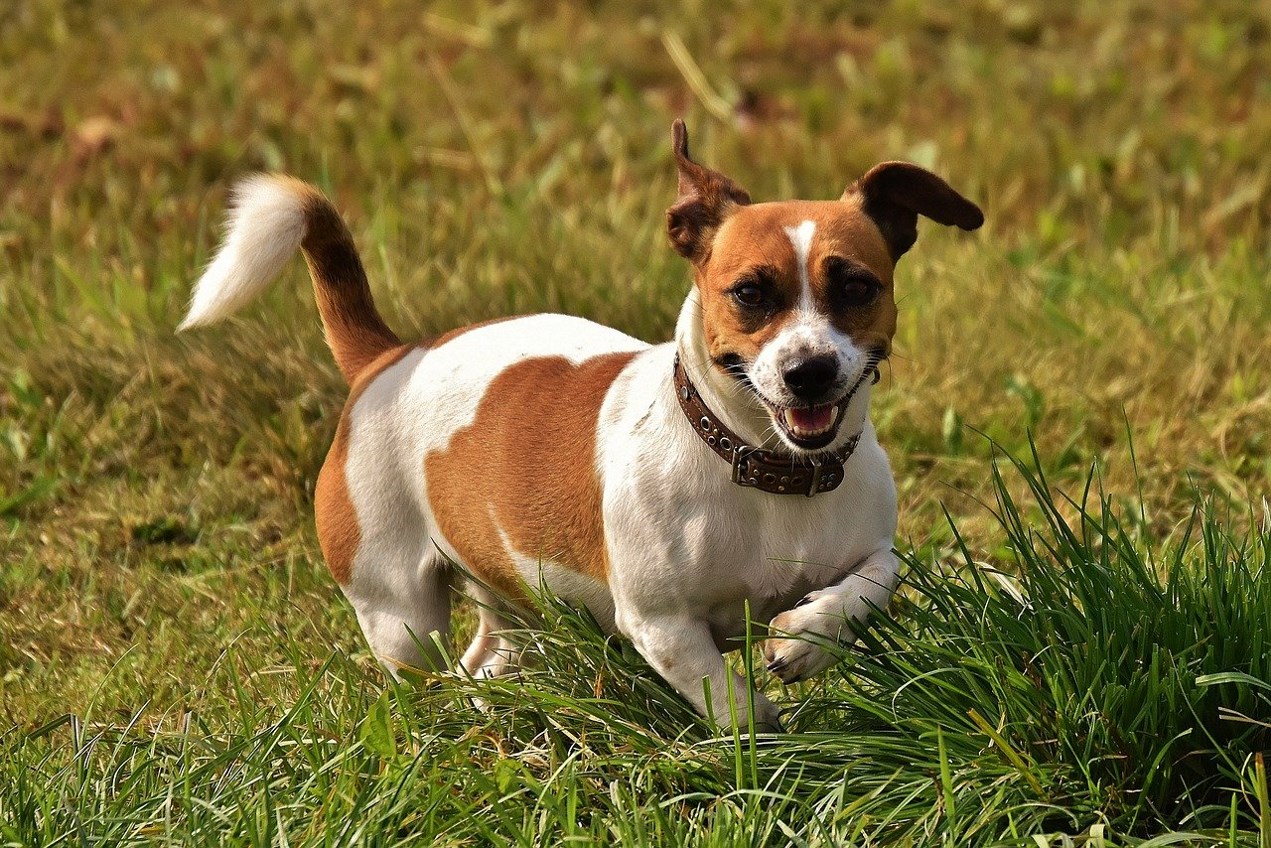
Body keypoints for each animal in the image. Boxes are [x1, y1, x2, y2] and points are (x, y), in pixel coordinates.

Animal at [181, 120, 981, 737]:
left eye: (858, 286)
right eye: (751, 293)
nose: (808, 370)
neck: (763, 467)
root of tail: (387, 357)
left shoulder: (868, 546)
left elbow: (877, 578)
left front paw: (807, 637)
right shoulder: (663, 626)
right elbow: (734, 705)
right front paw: (765, 748)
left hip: (515, 598)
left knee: (486, 661)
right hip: (397, 611)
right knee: (425, 670)